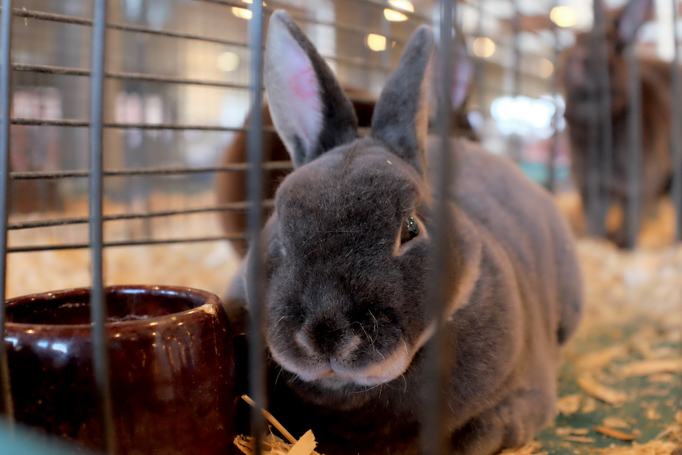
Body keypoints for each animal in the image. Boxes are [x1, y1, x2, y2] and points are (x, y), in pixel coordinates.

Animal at [560, 0, 673, 248]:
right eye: (578, 39)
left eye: (614, 46)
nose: (577, 59)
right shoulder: (591, 187)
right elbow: (595, 220)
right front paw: (596, 242)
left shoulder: (637, 187)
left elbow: (630, 219)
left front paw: (623, 246)